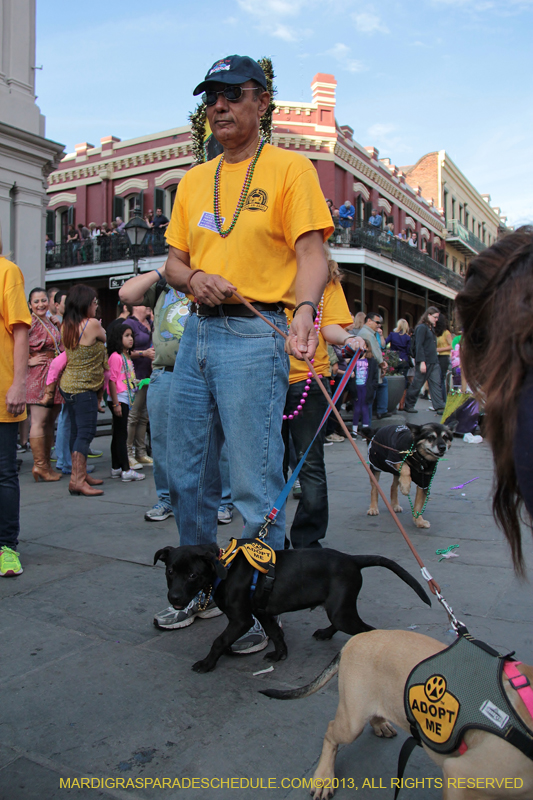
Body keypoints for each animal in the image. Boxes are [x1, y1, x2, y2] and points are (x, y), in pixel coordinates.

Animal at [153, 548, 428, 672]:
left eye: (192, 575)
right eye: (170, 571)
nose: (174, 597)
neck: (224, 570)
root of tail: (352, 559)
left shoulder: (241, 620)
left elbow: (220, 641)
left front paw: (207, 663)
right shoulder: (263, 612)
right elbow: (276, 633)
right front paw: (280, 654)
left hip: (342, 611)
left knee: (367, 630)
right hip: (338, 607)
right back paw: (326, 633)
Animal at [262, 636, 532, 796]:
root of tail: (354, 639)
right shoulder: (459, 774)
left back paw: (380, 724)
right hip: (351, 720)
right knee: (330, 733)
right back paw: (323, 779)